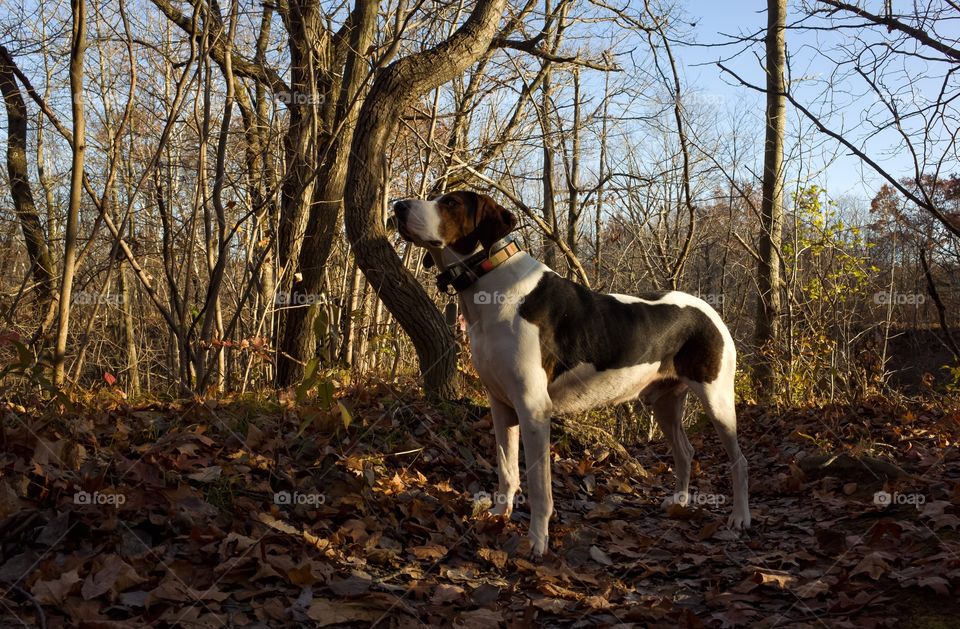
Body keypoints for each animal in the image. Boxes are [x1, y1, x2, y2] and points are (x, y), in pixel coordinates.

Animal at [390, 189, 752, 556]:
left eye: (450, 203)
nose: (397, 206)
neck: (489, 281)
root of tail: (711, 311)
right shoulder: (501, 405)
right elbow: (507, 469)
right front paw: (500, 514)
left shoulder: (533, 409)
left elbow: (539, 487)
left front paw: (537, 540)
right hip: (663, 402)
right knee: (685, 452)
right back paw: (679, 502)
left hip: (717, 401)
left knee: (739, 461)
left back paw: (740, 518)